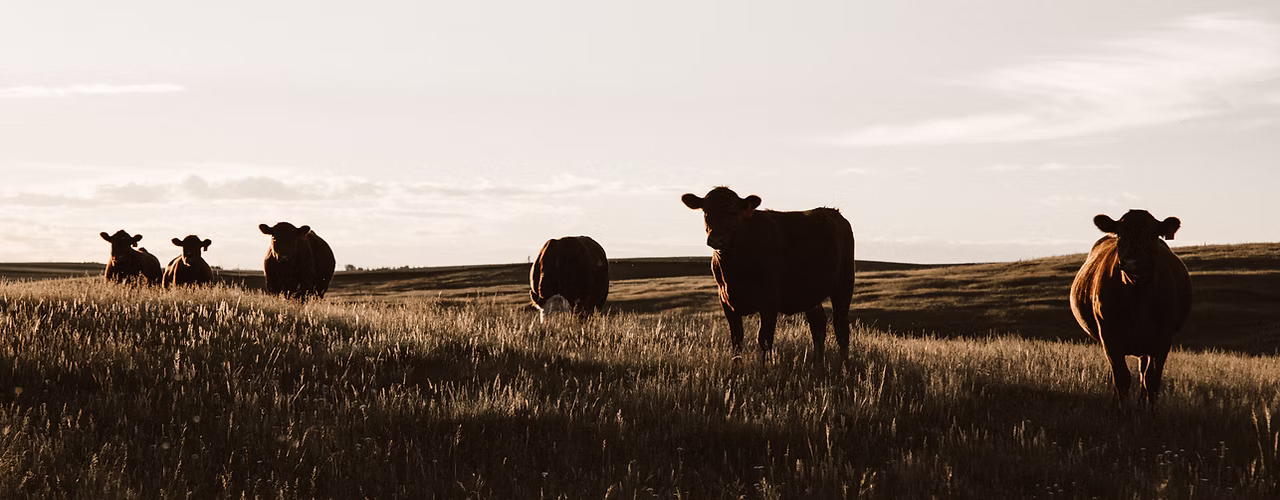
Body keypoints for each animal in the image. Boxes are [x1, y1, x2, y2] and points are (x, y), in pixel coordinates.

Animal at [681, 187, 856, 362]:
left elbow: (764, 339)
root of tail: (833, 212)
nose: (717, 239)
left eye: (733, 212)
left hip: (844, 285)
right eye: (706, 212)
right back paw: (817, 362)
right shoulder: (726, 301)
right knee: (818, 325)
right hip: (810, 292)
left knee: (841, 327)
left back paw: (844, 364)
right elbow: (736, 340)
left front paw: (766, 367)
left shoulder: (770, 301)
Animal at [1070, 209, 1192, 407]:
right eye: (1120, 234)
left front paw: (1150, 410)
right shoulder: (1109, 336)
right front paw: (1121, 409)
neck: (1137, 298)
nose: (1134, 264)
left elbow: (1152, 380)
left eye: (1152, 235)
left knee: (1143, 373)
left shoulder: (1163, 338)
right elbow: (1121, 378)